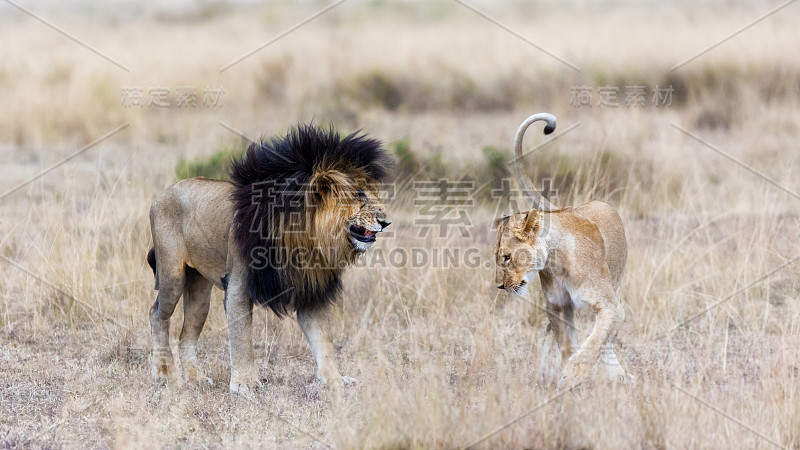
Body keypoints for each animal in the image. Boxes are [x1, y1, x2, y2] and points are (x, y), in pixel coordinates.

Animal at [147, 124, 394, 394]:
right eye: (360, 196)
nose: (387, 222)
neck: (307, 236)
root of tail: (162, 195)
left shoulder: (310, 289)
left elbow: (323, 339)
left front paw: (335, 380)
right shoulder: (238, 285)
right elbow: (242, 337)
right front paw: (245, 383)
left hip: (199, 289)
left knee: (187, 334)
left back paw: (196, 378)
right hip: (173, 275)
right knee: (157, 315)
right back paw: (165, 375)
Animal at [494, 112, 632, 386]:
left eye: (507, 257)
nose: (501, 286)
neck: (555, 262)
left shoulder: (609, 306)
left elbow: (595, 341)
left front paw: (571, 376)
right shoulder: (557, 306)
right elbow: (568, 343)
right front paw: (567, 372)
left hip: (616, 286)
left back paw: (617, 374)